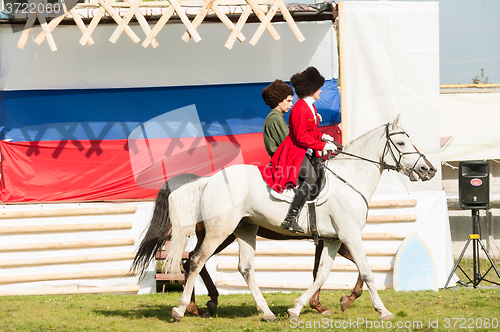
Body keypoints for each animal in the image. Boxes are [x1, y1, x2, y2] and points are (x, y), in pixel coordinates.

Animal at [163, 115, 434, 322]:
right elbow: (366, 271)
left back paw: (266, 312)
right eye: (401, 142)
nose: (427, 169)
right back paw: (182, 309)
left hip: (245, 229)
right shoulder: (349, 235)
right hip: (219, 232)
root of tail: (210, 180)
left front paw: (297, 308)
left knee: (245, 268)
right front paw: (382, 310)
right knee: (195, 261)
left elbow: (321, 274)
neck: (350, 178)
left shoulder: (334, 239)